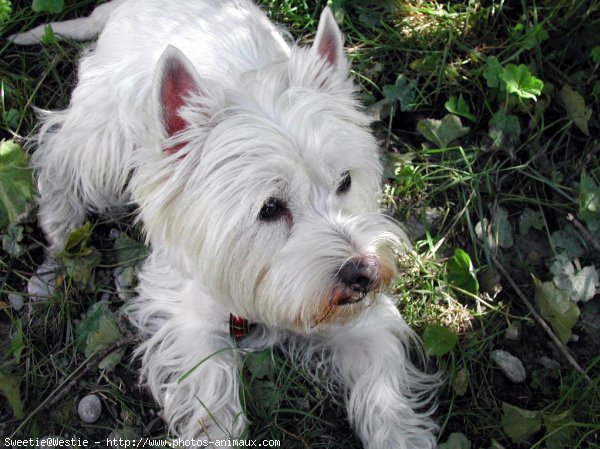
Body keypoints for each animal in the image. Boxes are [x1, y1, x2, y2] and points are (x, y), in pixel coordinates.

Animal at [11, 1, 438, 446]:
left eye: (345, 181)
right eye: (269, 208)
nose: (365, 272)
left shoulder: (360, 324)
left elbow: (384, 393)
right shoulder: (191, 319)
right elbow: (211, 401)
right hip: (104, 139)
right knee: (57, 152)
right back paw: (60, 225)